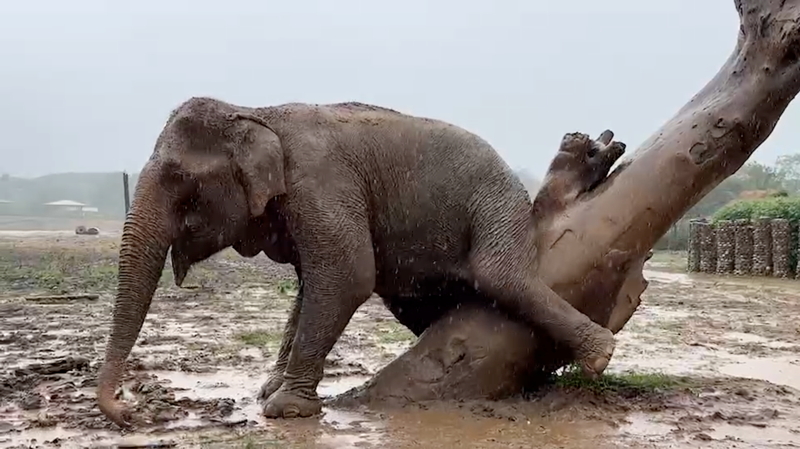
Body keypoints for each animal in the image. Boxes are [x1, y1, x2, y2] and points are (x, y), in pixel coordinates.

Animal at [97, 96, 620, 426]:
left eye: (179, 179)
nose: (129, 413)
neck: (257, 112)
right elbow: (311, 285)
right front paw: (270, 389)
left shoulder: (321, 184)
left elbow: (347, 275)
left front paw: (283, 408)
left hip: (493, 199)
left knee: (499, 272)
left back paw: (599, 353)